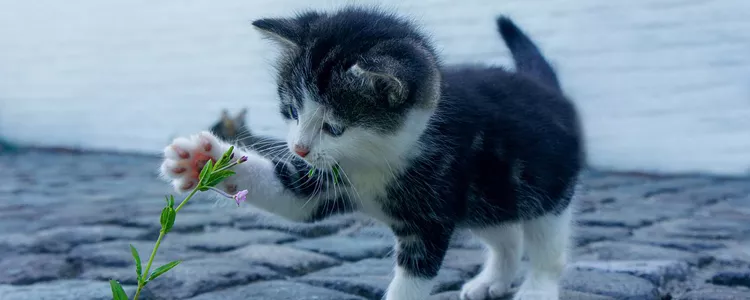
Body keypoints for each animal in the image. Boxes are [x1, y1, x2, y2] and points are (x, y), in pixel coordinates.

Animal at [162, 6, 584, 300]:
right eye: (292, 110)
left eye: (334, 127)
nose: (299, 148)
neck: (377, 158)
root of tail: (548, 89)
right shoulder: (328, 178)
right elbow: (292, 197)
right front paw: (202, 159)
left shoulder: (430, 217)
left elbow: (413, 279)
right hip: (488, 196)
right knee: (506, 234)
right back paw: (492, 280)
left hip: (546, 188)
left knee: (547, 244)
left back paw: (536, 287)